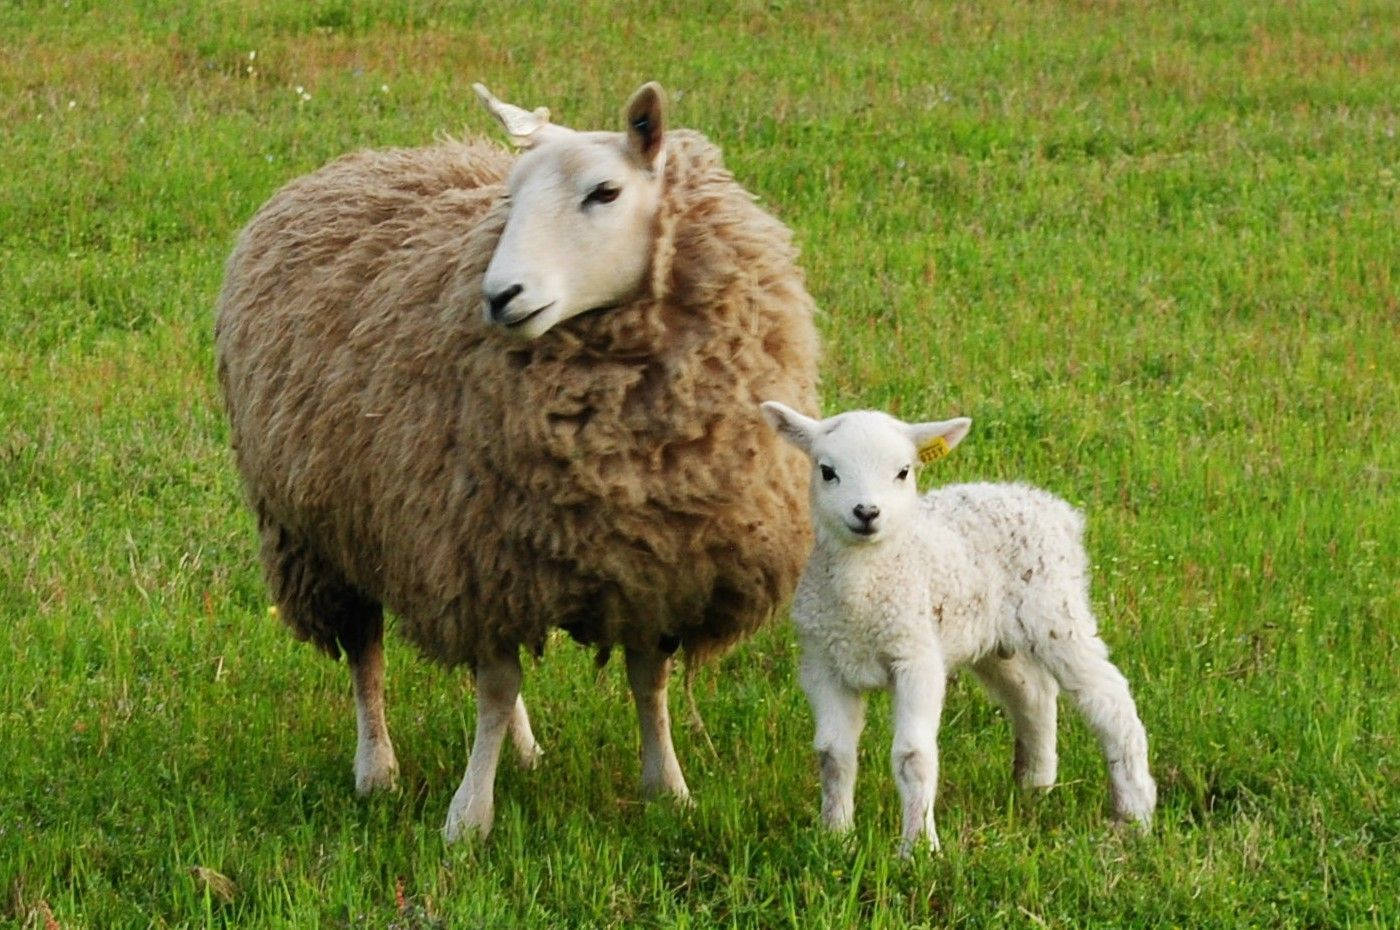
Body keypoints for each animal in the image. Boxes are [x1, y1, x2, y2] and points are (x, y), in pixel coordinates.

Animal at [214, 82, 820, 841]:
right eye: (512, 196)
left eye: (605, 191)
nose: (499, 296)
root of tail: (361, 160)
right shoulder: (473, 554)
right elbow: (496, 691)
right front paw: (469, 818)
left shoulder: (655, 561)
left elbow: (645, 683)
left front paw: (668, 789)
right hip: (318, 533)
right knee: (365, 654)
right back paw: (376, 769)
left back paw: (525, 751)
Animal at [759, 402, 1156, 854]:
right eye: (827, 471)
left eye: (903, 472)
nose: (866, 513)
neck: (861, 592)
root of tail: (1049, 505)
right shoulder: (823, 664)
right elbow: (832, 756)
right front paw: (835, 839)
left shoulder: (916, 658)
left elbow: (913, 756)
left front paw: (919, 848)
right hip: (993, 639)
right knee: (1033, 694)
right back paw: (1034, 787)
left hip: (1056, 611)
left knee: (1109, 699)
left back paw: (1135, 813)